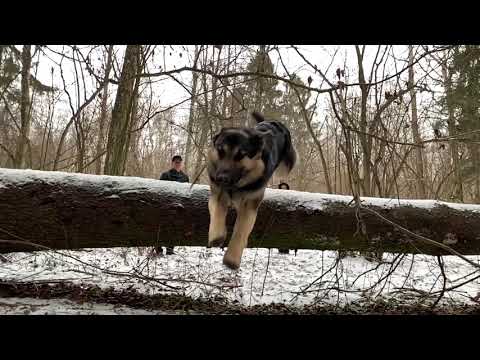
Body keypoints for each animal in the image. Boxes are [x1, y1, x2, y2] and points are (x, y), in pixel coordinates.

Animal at [207, 112, 296, 270]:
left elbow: (241, 231)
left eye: (241, 155)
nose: (221, 178)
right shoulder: (217, 193)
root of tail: (274, 121)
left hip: (286, 163)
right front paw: (217, 236)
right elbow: (217, 211)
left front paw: (232, 259)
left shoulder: (250, 203)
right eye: (220, 151)